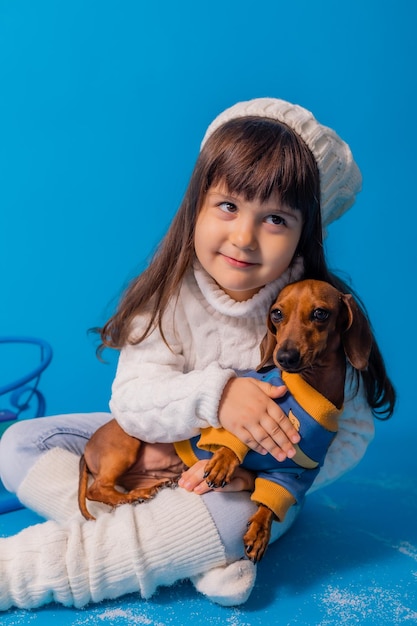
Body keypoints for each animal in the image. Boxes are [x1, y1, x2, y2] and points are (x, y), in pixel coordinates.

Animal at [77, 278, 370, 560]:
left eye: (321, 313)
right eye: (277, 314)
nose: (284, 357)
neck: (310, 390)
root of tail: (87, 450)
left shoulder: (294, 471)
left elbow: (270, 501)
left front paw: (259, 532)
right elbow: (231, 440)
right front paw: (222, 463)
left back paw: (149, 489)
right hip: (126, 444)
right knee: (98, 489)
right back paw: (134, 496)